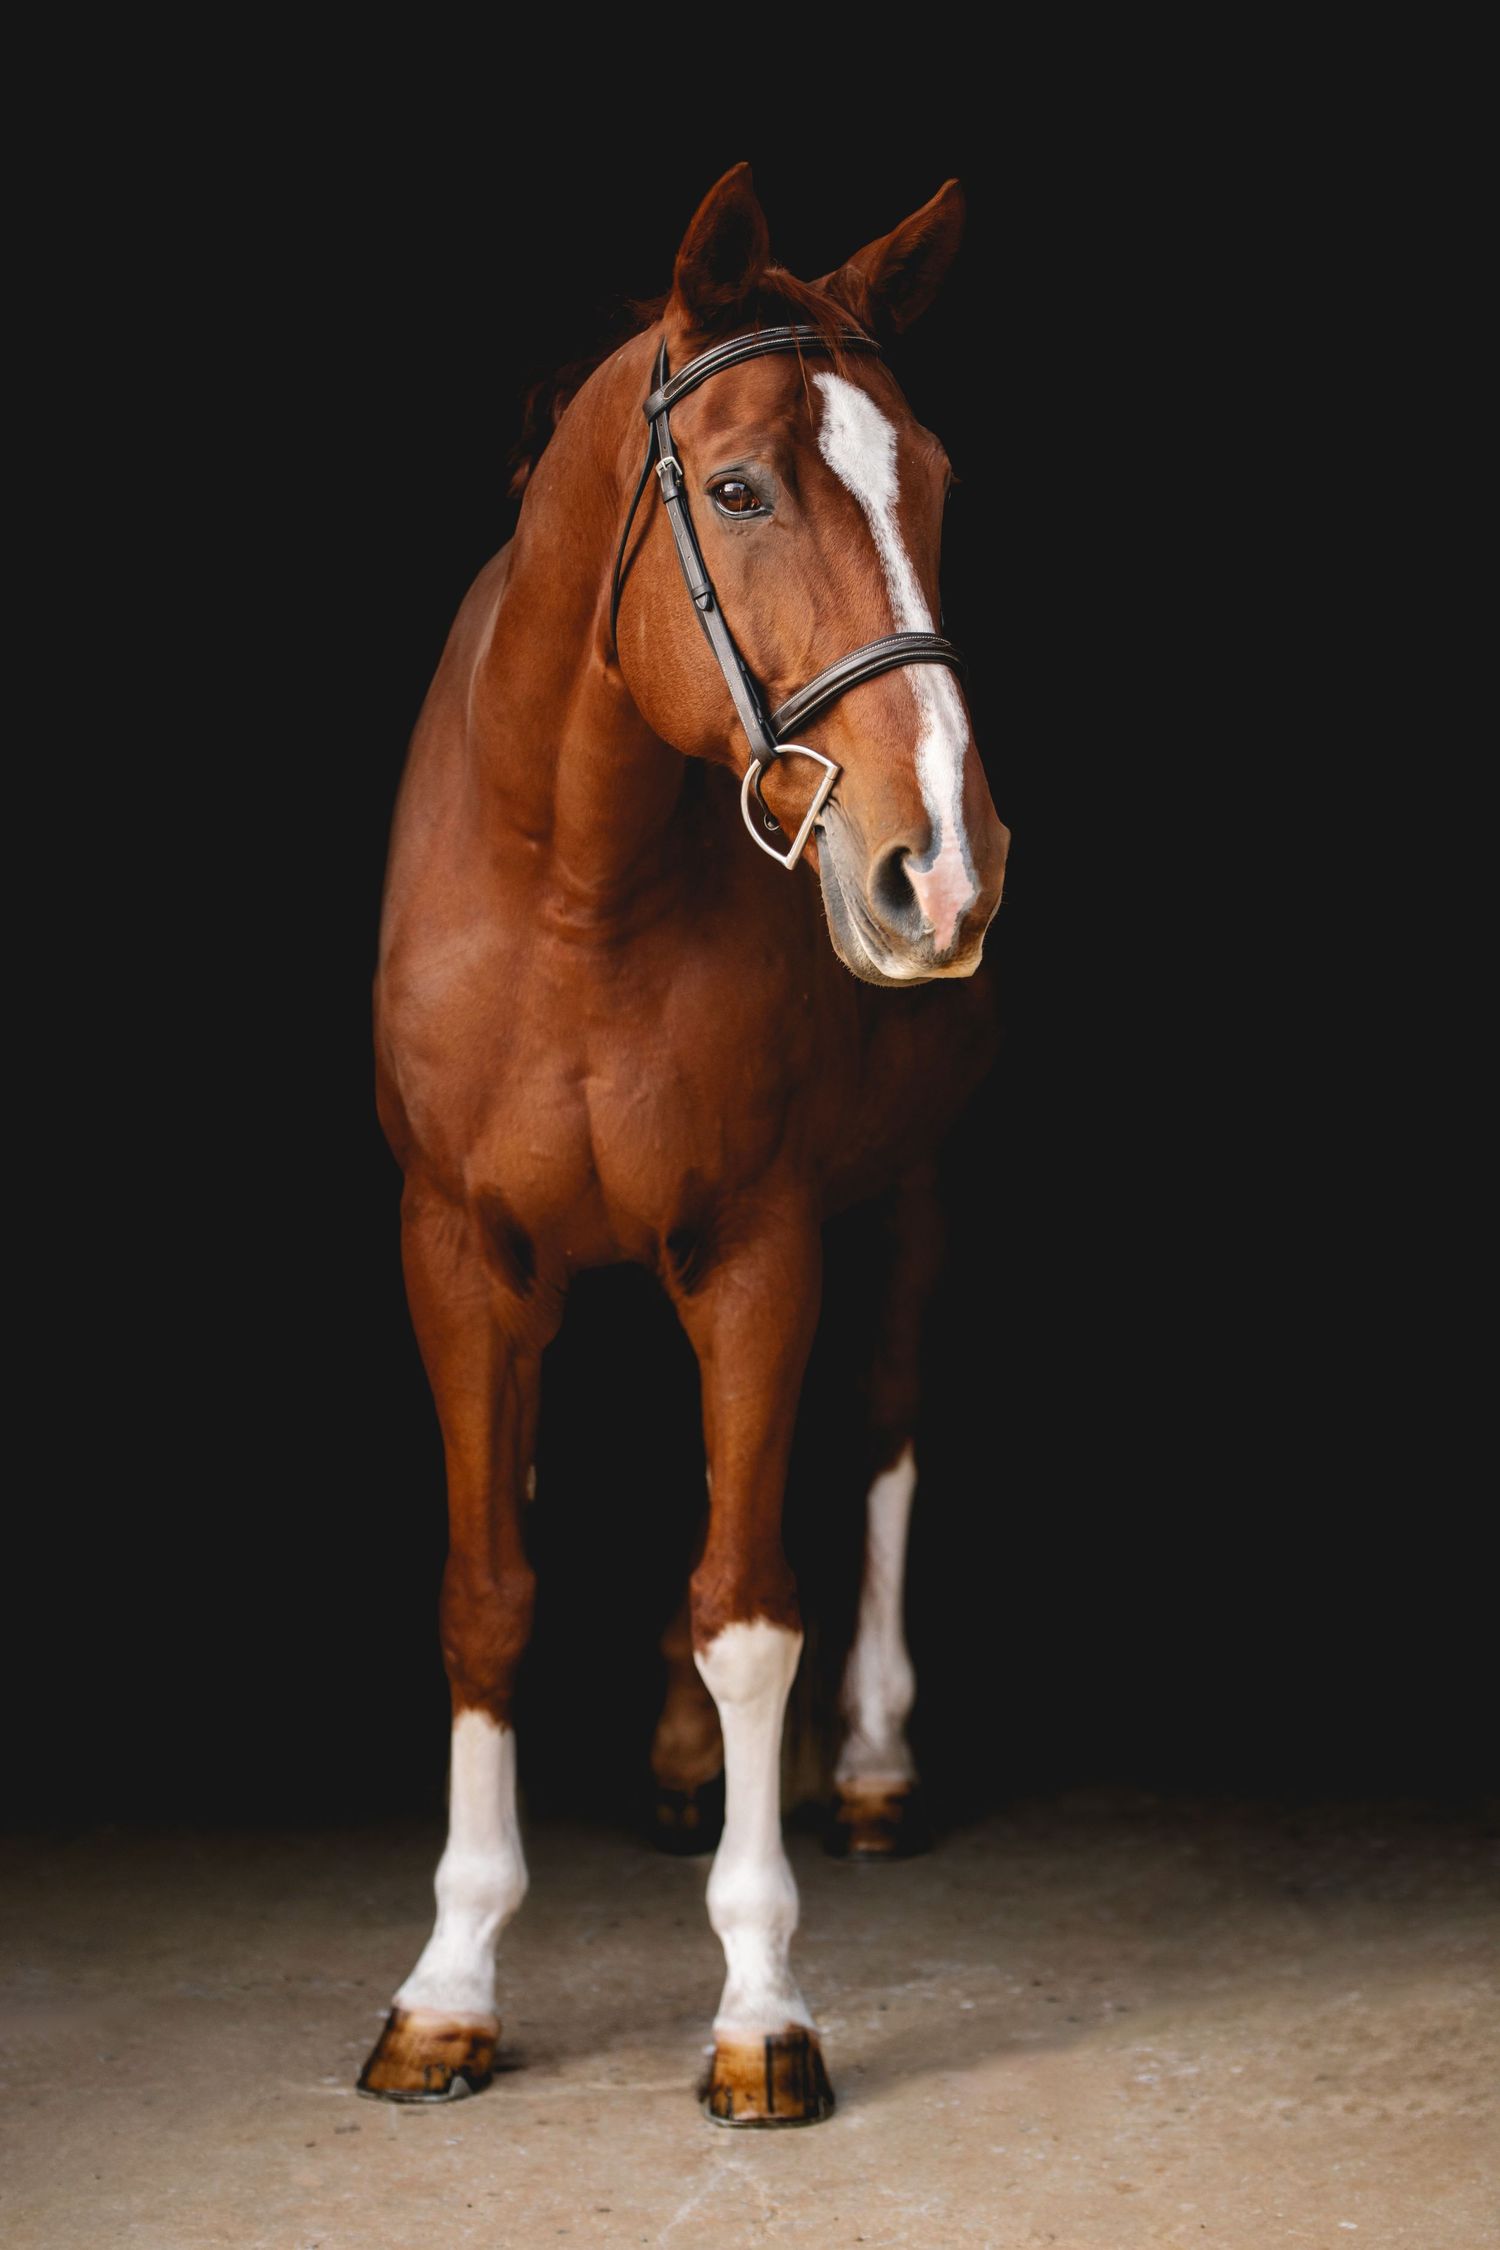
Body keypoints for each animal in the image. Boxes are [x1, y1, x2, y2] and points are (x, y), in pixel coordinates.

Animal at [360, 161, 1010, 2126]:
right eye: (736, 490)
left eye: (932, 481)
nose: (944, 864)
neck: (571, 880)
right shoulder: (461, 1250)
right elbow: (489, 1595)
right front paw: (448, 1983)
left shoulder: (758, 1244)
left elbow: (752, 1607)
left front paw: (761, 2002)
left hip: (910, 1195)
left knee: (878, 1438)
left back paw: (864, 1762)